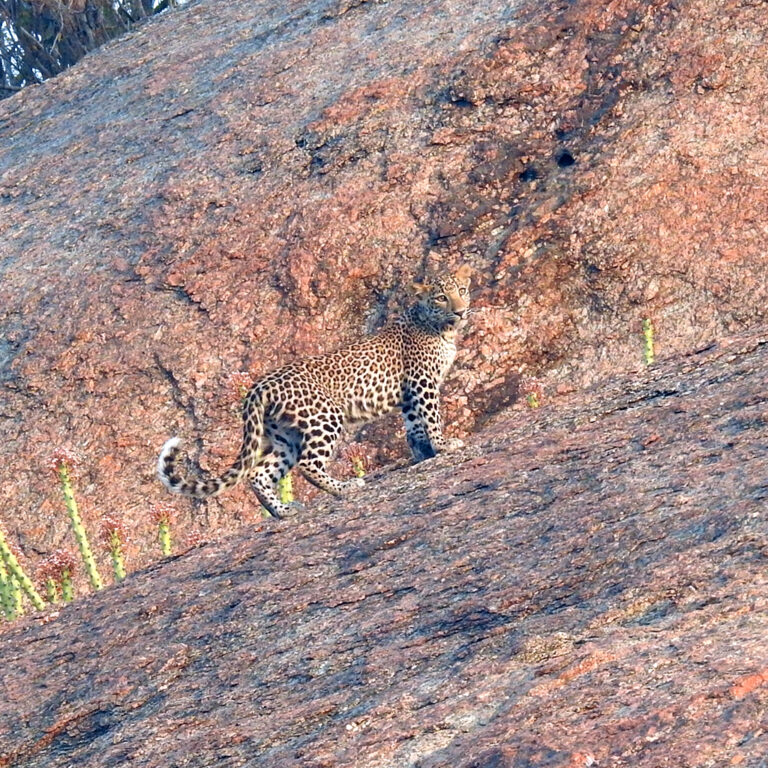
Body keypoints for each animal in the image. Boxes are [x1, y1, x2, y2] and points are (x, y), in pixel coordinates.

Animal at [157, 263, 472, 518]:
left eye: (462, 291)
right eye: (441, 298)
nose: (460, 311)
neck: (442, 329)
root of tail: (259, 386)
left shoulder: (409, 393)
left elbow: (414, 425)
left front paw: (424, 452)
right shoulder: (422, 382)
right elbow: (431, 417)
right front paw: (444, 445)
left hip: (285, 436)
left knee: (259, 473)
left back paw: (284, 511)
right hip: (324, 417)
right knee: (308, 464)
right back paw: (346, 487)